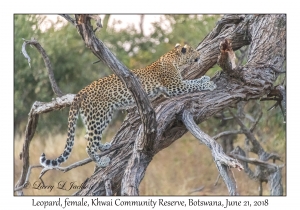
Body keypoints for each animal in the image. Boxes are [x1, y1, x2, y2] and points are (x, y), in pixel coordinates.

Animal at [40, 43, 216, 168]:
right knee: (89, 144)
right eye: (194, 51)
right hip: (99, 116)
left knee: (88, 136)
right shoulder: (174, 87)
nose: (200, 55)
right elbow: (191, 84)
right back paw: (102, 162)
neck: (174, 59)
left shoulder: (174, 87)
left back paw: (104, 146)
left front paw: (205, 79)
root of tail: (81, 91)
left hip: (99, 116)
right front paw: (209, 84)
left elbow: (192, 81)